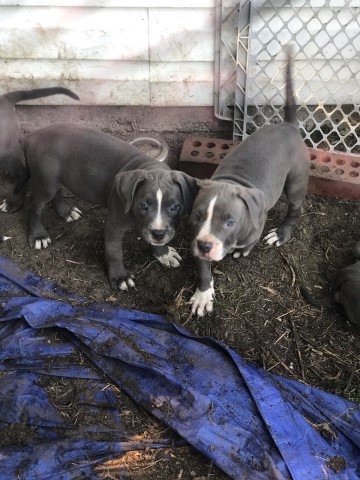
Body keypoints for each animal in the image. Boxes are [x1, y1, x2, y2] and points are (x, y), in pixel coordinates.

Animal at [21, 123, 197, 288]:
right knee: (35, 207)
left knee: (57, 193)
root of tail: (35, 134)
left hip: (55, 180)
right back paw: (38, 235)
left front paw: (163, 254)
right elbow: (114, 252)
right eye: (143, 206)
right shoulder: (114, 227)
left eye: (174, 207)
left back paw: (66, 212)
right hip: (45, 183)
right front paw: (120, 277)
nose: (158, 233)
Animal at [188, 48, 310, 316]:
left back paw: (282, 234)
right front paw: (203, 294)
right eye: (197, 216)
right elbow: (203, 270)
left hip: (295, 181)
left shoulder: (255, 224)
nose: (204, 246)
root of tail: (289, 126)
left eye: (230, 221)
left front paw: (241, 251)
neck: (232, 182)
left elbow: (248, 243)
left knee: (296, 207)